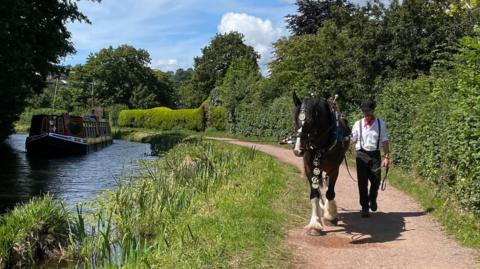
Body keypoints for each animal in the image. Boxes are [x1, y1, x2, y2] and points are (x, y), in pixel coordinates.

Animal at [290, 92, 350, 234]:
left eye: (310, 121)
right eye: (295, 119)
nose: (298, 150)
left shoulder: (334, 168)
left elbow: (330, 192)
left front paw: (330, 216)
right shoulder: (309, 167)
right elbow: (314, 194)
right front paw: (314, 224)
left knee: (328, 187)